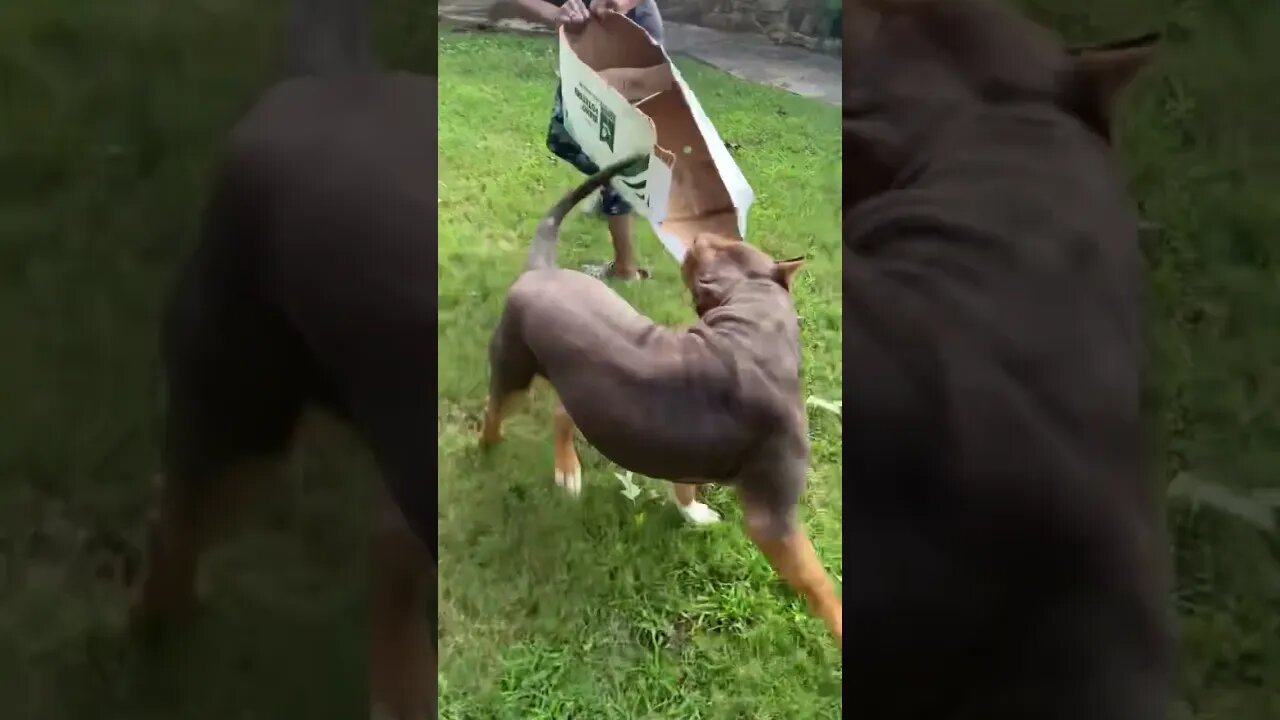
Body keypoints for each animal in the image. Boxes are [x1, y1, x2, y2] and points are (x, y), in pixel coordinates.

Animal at [481, 155, 839, 638]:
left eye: (725, 240)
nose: (699, 232)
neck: (753, 319)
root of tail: (542, 269)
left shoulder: (687, 446)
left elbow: (685, 484)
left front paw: (693, 512)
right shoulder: (773, 517)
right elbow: (822, 588)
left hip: (584, 390)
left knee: (560, 414)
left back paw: (568, 470)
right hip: (515, 370)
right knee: (493, 410)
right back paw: (489, 446)